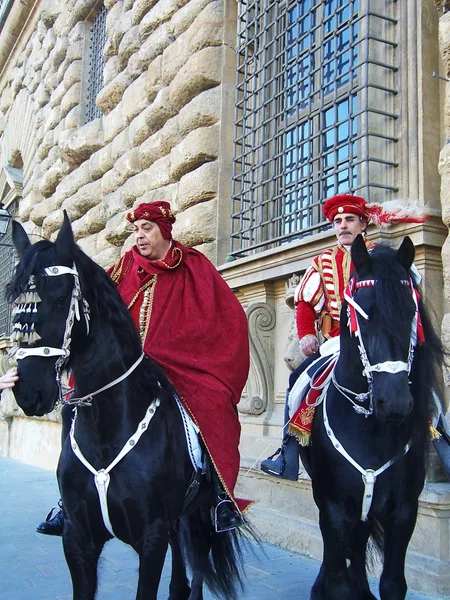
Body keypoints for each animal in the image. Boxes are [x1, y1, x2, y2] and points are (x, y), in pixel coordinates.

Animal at [7, 214, 246, 600]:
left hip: (198, 514)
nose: (29, 391)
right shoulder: (78, 538)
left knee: (193, 566)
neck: (106, 432)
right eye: (15, 301)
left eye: (60, 299)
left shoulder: (151, 538)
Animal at [298, 236, 442, 600]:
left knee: (360, 539)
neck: (371, 428)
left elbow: (393, 583)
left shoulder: (404, 510)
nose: (395, 402)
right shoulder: (335, 506)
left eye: (411, 311)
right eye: (364, 313)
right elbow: (338, 580)